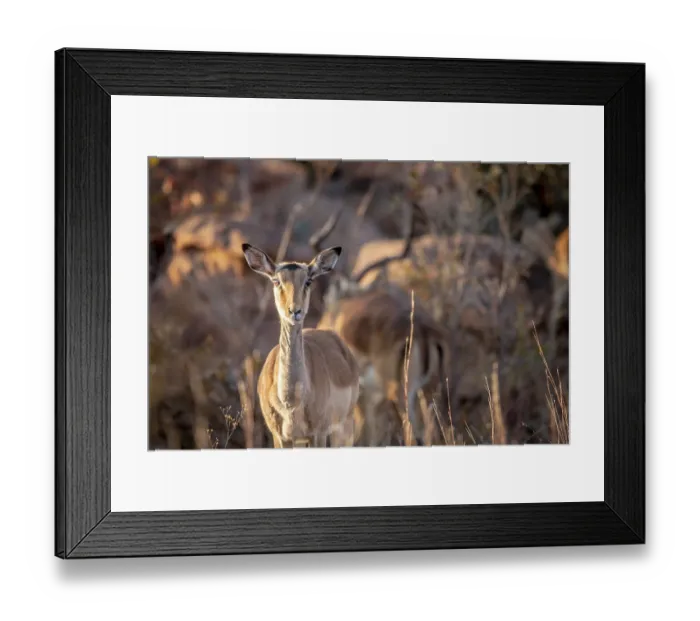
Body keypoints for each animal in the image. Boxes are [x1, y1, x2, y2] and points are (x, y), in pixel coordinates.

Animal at [242, 242, 360, 448]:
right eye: (276, 281)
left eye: (308, 281)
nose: (295, 311)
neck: (291, 400)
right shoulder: (281, 438)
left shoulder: (318, 435)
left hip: (344, 428)